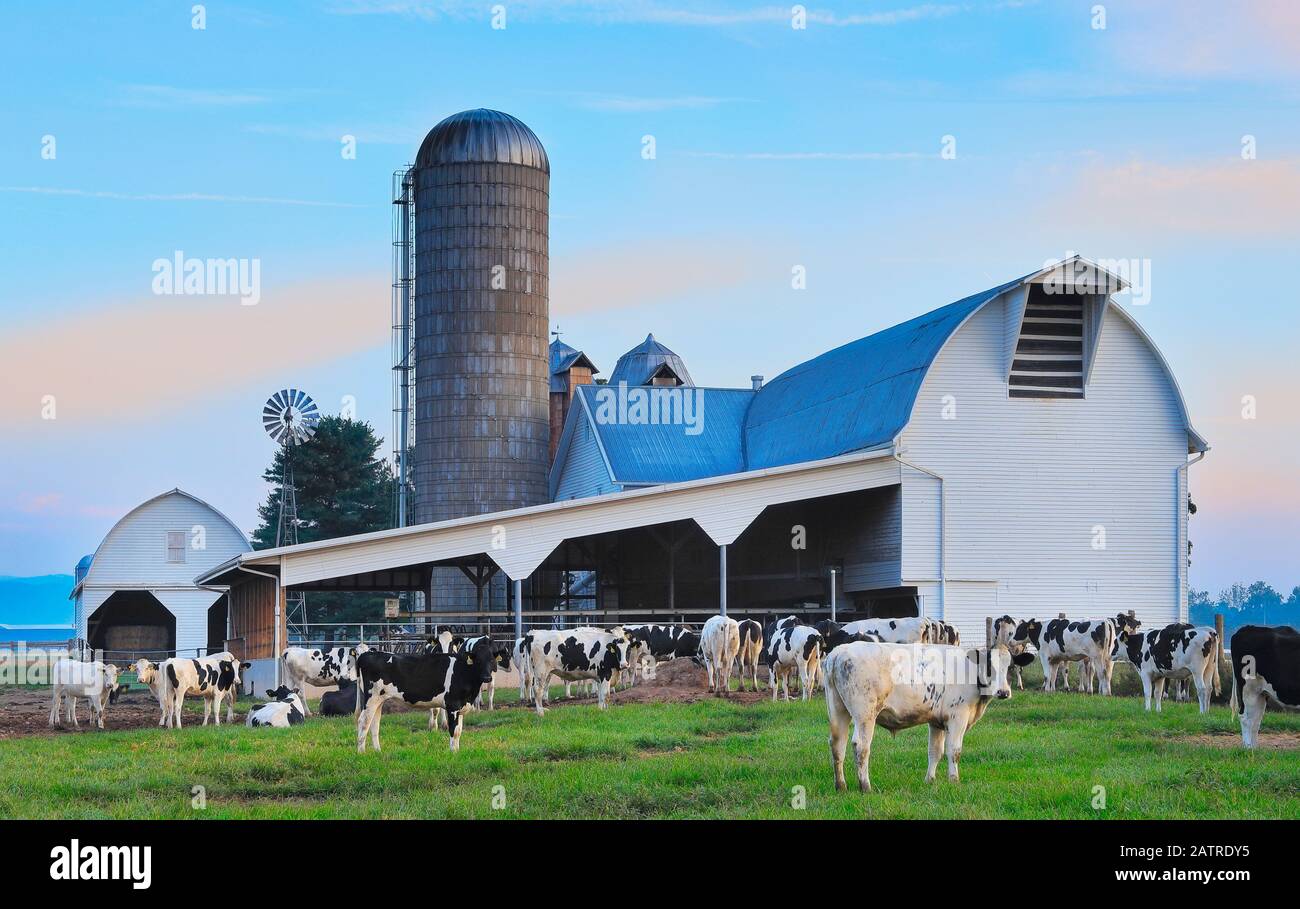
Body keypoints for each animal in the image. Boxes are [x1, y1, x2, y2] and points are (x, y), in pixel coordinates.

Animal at [356, 632, 496, 754]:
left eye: (492, 660)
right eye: (478, 661)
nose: (487, 677)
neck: (463, 670)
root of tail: (367, 655)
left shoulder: (461, 706)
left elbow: (459, 731)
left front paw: (457, 751)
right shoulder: (453, 705)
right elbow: (453, 730)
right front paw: (453, 753)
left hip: (379, 699)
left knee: (374, 723)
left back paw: (377, 751)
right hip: (371, 697)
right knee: (363, 721)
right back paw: (361, 752)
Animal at [821, 639, 1034, 790]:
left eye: (1011, 666)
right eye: (989, 666)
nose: (1003, 692)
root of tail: (838, 653)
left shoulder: (936, 722)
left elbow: (935, 752)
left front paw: (930, 780)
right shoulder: (958, 717)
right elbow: (954, 751)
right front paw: (954, 780)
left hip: (838, 711)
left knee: (837, 744)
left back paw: (841, 786)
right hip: (865, 715)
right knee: (861, 746)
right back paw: (865, 786)